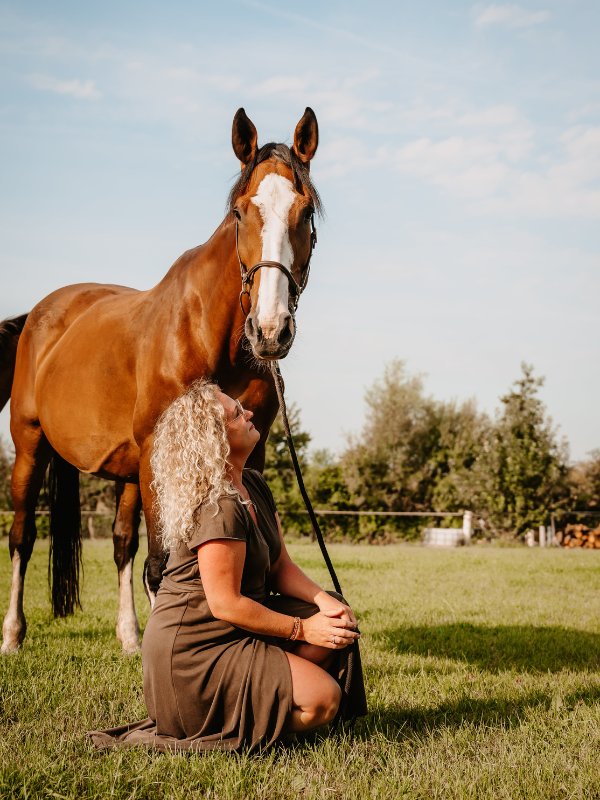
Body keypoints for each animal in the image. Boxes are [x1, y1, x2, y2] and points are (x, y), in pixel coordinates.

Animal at [0, 106, 322, 652]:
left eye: (306, 214)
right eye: (240, 213)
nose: (270, 330)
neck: (210, 335)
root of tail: (40, 315)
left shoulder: (250, 453)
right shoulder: (162, 450)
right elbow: (161, 564)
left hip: (131, 471)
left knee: (121, 543)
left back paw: (130, 636)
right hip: (30, 445)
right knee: (22, 537)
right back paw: (12, 635)